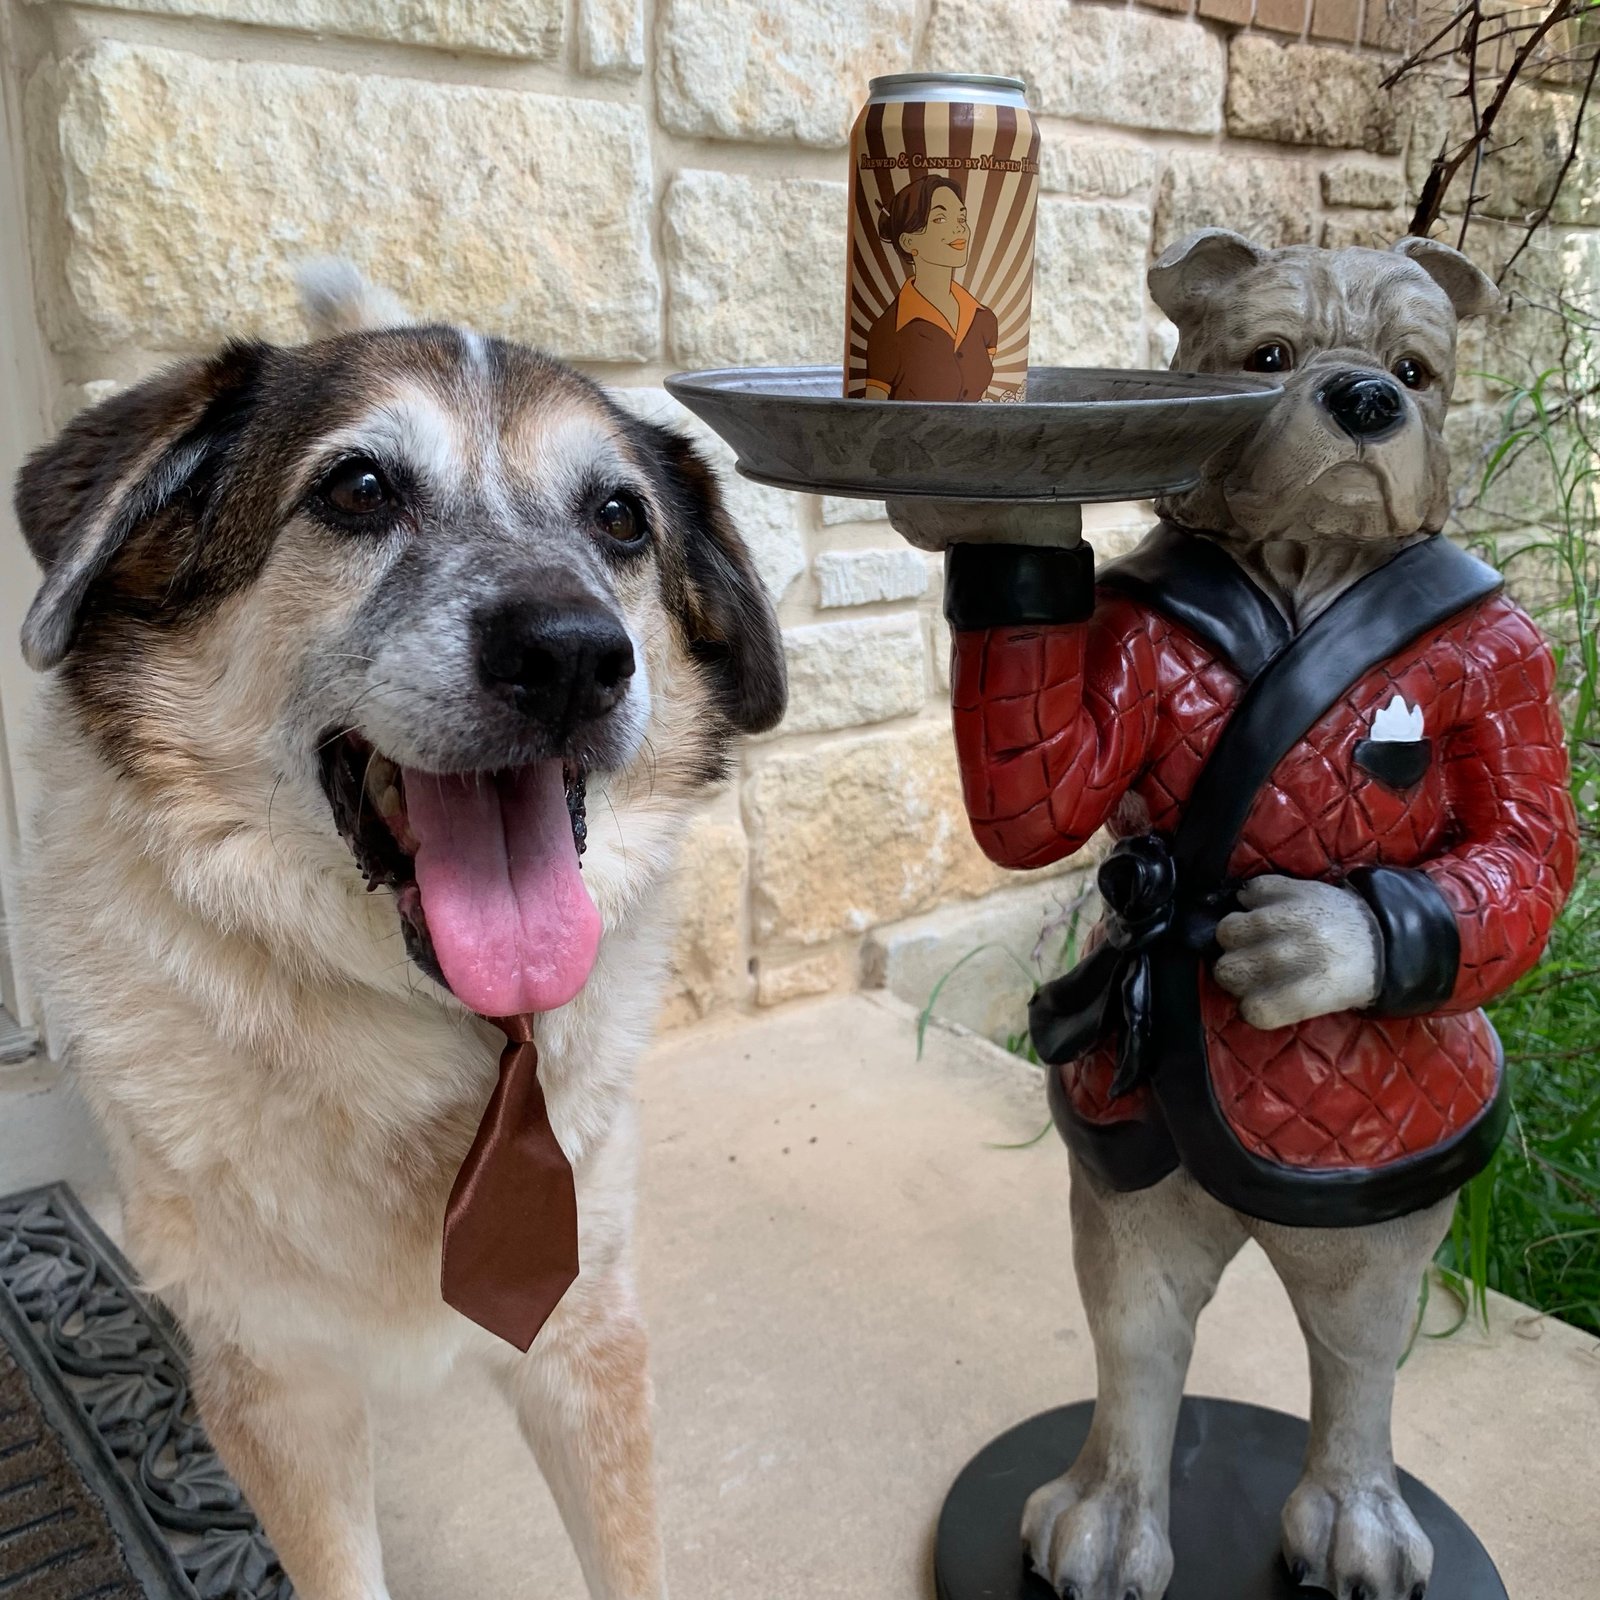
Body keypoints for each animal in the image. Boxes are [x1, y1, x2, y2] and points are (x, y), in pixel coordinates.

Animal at [10, 268, 787, 1593]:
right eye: (358, 487)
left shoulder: (589, 1337)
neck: (447, 1045)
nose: (572, 655)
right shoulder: (280, 1387)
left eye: (621, 518)